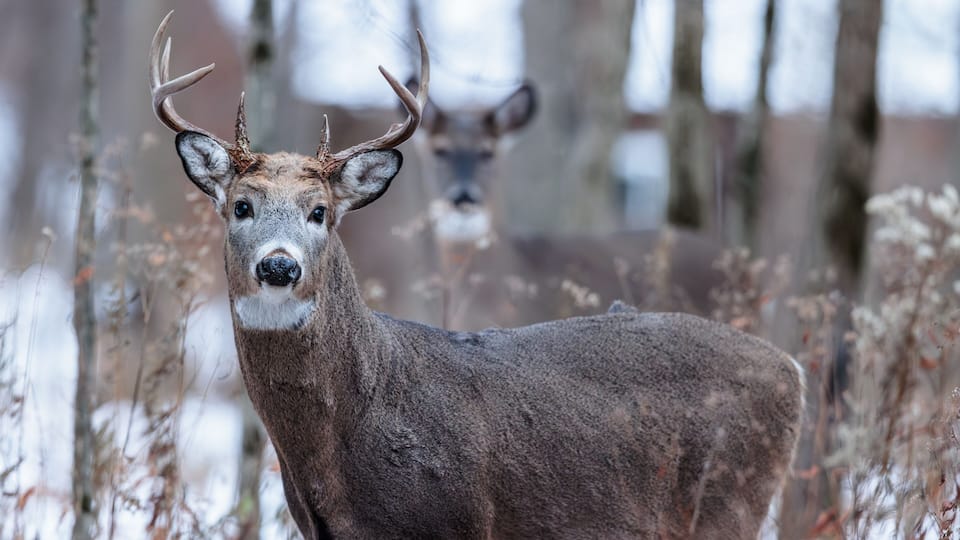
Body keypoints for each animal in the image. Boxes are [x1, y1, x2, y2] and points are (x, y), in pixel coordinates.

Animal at [151, 13, 803, 539]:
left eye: (320, 212)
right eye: (241, 206)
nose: (279, 264)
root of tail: (791, 368)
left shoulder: (457, 519)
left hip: (727, 501)